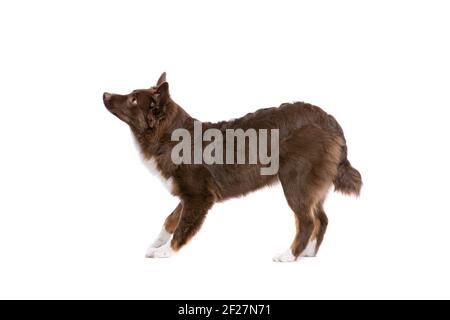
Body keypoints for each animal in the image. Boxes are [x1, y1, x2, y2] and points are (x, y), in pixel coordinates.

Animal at [103, 73, 362, 262]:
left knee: (307, 221)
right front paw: (157, 242)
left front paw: (166, 251)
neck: (170, 135)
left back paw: (290, 255)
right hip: (311, 184)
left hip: (294, 180)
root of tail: (328, 119)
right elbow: (170, 218)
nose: (105, 93)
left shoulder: (198, 196)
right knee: (322, 218)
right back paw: (308, 252)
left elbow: (183, 225)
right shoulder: (189, 194)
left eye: (133, 99)